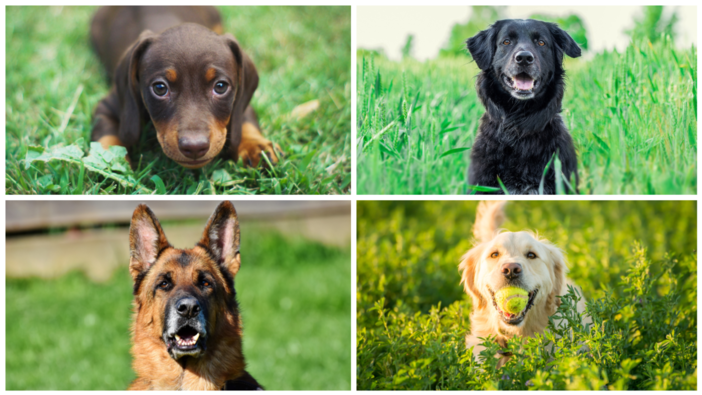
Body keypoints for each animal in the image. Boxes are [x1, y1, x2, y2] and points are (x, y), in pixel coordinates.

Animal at [91, 6, 280, 169]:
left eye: (220, 86)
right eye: (160, 88)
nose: (195, 147)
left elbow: (245, 121)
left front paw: (256, 147)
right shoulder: (107, 106)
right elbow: (107, 137)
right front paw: (108, 162)